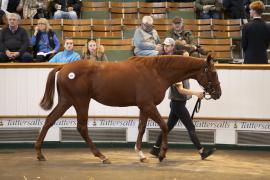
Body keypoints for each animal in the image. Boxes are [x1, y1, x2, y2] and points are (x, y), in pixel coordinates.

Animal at [36, 54, 221, 163]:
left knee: (49, 120)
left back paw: (39, 153)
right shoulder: (148, 105)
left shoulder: (144, 107)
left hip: (66, 101)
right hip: (81, 102)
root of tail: (64, 67)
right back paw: (102, 156)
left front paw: (141, 154)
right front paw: (162, 154)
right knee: (81, 127)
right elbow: (163, 126)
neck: (156, 72)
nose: (218, 93)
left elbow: (141, 128)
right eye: (213, 72)